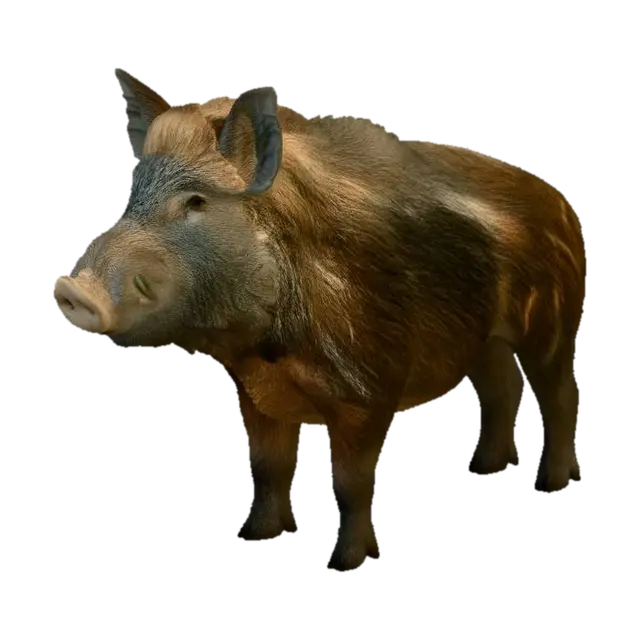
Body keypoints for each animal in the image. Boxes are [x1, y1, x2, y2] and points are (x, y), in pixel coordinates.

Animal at [53, 66, 586, 571]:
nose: (70, 288)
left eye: (197, 201)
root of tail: (562, 205)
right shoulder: (254, 394)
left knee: (560, 397)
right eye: (133, 198)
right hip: (485, 339)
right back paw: (483, 470)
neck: (265, 350)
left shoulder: (369, 389)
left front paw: (347, 562)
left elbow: (350, 484)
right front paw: (260, 538)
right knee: (501, 389)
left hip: (553, 324)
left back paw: (555, 485)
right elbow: (267, 469)